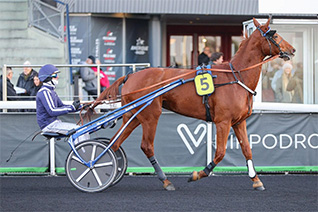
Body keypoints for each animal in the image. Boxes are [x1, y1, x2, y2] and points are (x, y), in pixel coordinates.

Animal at [85, 17, 296, 190]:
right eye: (275, 34)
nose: (292, 50)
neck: (236, 77)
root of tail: (131, 75)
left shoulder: (239, 122)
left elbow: (247, 150)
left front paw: (256, 180)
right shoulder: (223, 121)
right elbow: (220, 153)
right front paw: (198, 174)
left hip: (135, 115)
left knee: (114, 143)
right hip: (151, 115)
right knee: (146, 146)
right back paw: (163, 180)